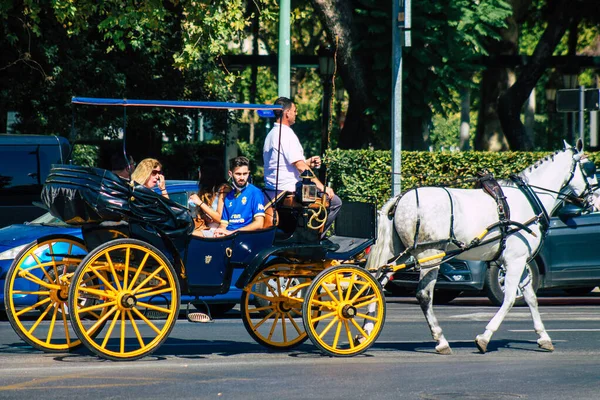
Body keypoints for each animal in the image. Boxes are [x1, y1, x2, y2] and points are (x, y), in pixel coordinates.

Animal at [366, 141, 596, 354]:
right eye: (590, 169)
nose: (595, 201)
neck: (528, 199)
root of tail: (400, 198)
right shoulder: (515, 261)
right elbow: (510, 299)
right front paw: (485, 337)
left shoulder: (518, 261)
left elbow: (531, 298)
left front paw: (543, 337)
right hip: (431, 255)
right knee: (423, 295)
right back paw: (440, 340)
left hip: (399, 254)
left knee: (375, 284)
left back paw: (367, 329)